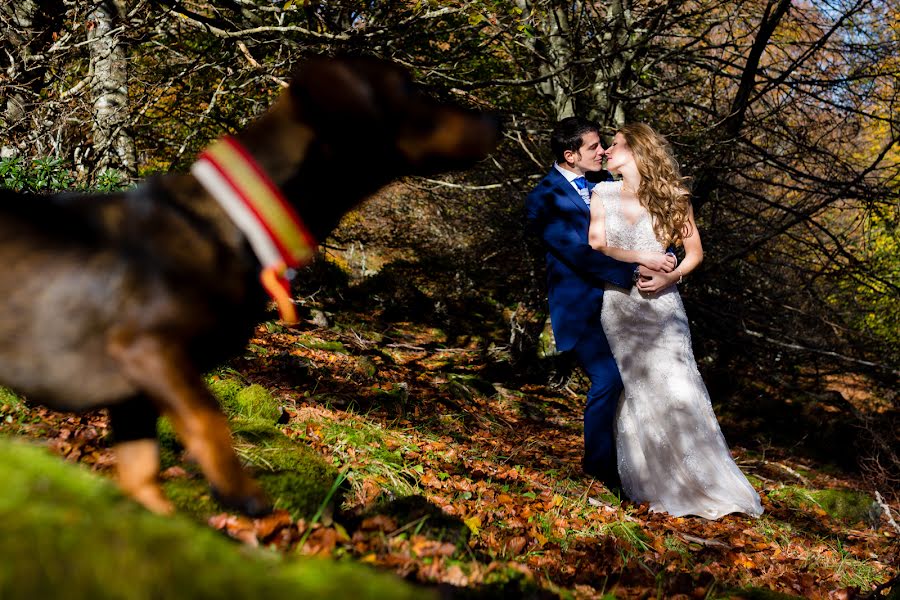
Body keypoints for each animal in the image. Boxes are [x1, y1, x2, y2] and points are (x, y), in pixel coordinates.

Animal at [0, 57, 500, 516]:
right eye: (410, 90)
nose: (495, 119)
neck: (235, 221)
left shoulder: (134, 400)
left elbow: (143, 479)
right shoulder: (148, 349)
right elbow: (209, 417)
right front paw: (242, 490)